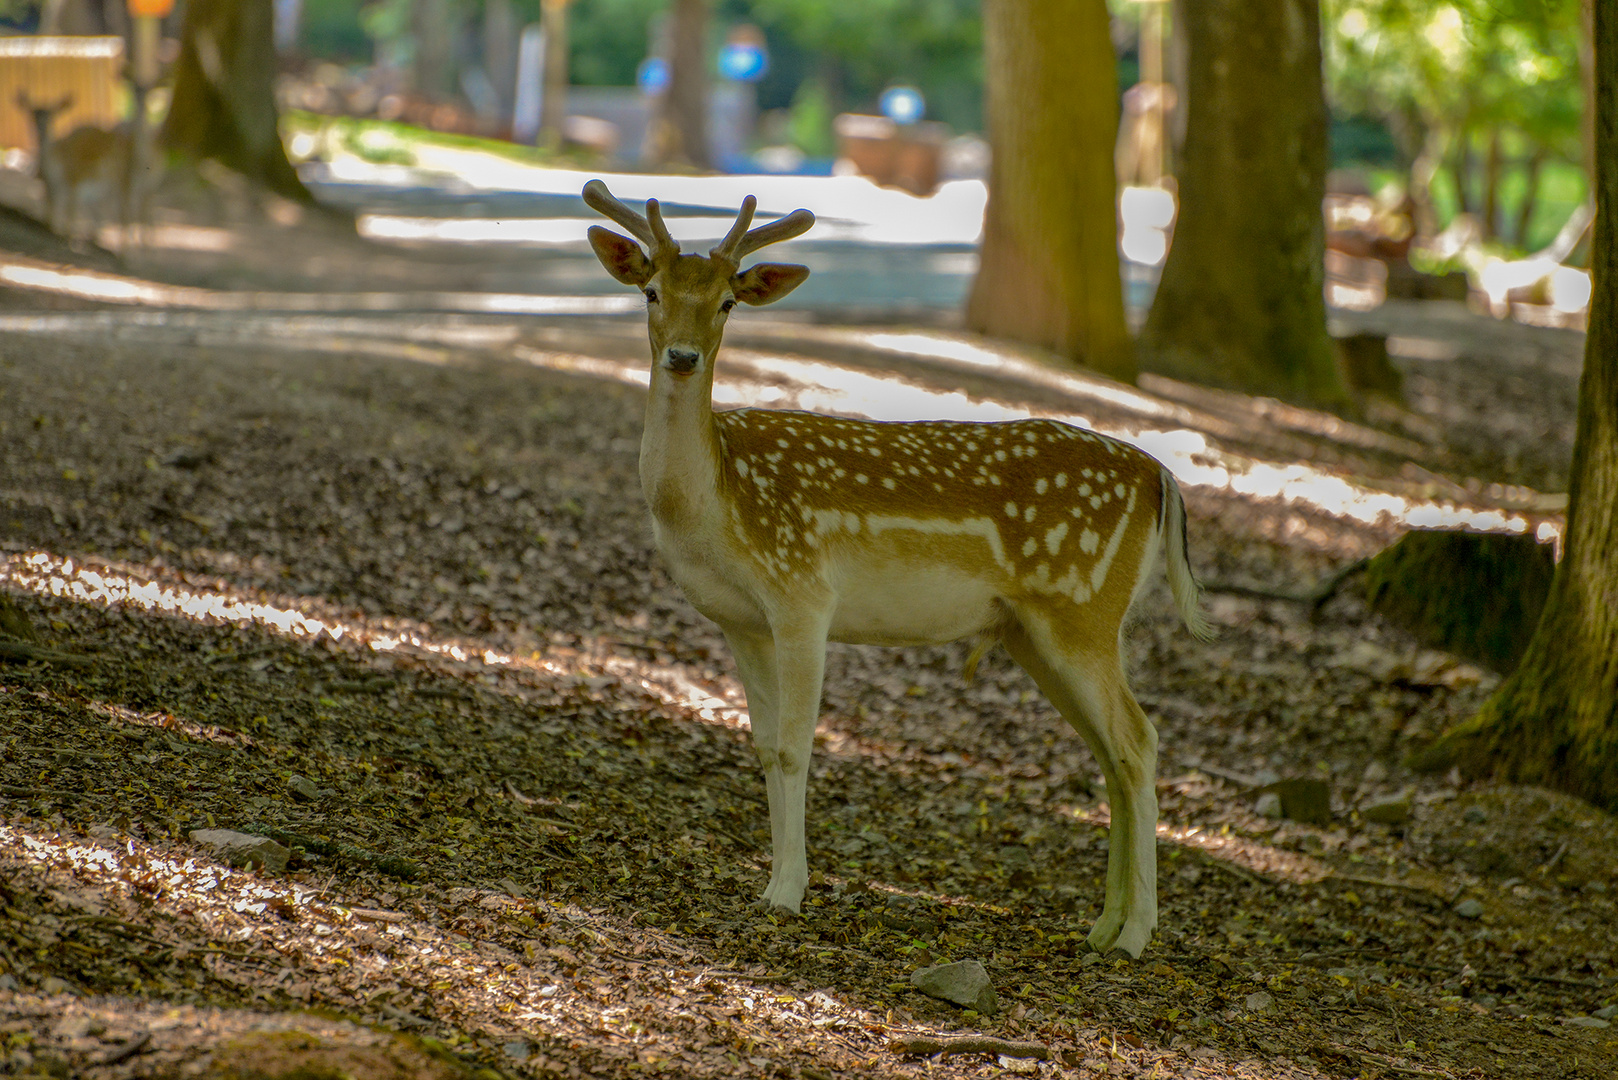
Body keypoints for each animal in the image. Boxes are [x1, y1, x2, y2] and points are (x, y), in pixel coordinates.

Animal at [585, 179, 1216, 965]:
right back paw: (1101, 927)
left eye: (727, 301)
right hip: (1036, 632)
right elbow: (760, 747)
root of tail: (1162, 477)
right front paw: (770, 881)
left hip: (1084, 608)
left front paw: (787, 892)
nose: (681, 356)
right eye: (650, 291)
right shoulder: (741, 621)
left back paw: (1135, 934)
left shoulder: (802, 593)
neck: (714, 503)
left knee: (1138, 741)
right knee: (1110, 754)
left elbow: (793, 748)